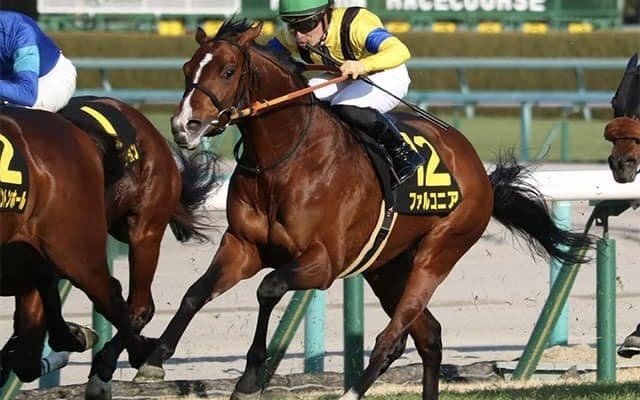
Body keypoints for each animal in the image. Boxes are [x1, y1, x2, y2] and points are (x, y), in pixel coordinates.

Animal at [134, 19, 595, 400]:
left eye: (228, 71)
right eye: (187, 70)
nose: (184, 126)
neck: (285, 161)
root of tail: (478, 171)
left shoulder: (324, 262)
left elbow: (268, 289)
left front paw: (249, 380)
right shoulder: (243, 245)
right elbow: (196, 293)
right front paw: (153, 360)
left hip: (438, 252)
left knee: (393, 338)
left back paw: (351, 392)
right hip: (386, 266)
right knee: (428, 336)